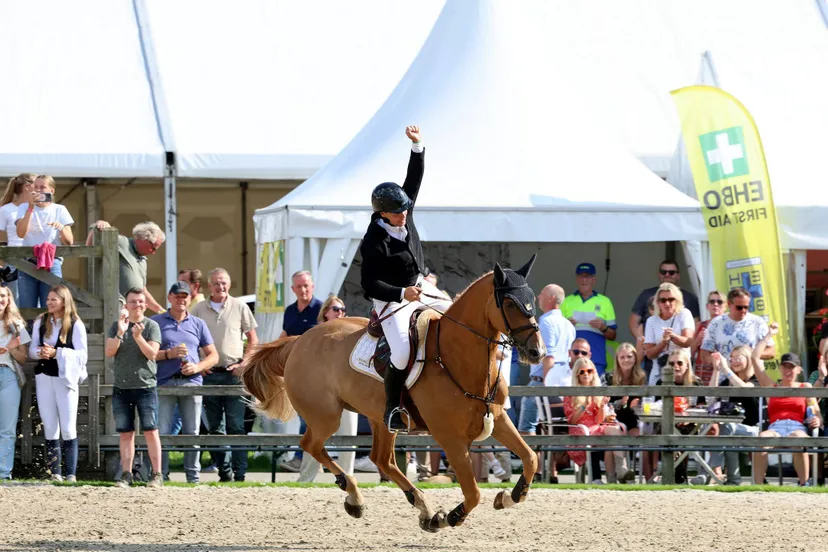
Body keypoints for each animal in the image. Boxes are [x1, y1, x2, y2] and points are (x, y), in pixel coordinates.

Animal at [239, 254, 548, 532]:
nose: (537, 352)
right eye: (509, 303)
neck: (458, 358)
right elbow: (473, 493)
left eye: (532, 299)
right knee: (311, 445)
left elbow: (530, 459)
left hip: (380, 417)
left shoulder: (498, 419)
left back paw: (420, 505)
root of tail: (300, 340)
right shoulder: (451, 438)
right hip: (326, 416)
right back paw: (355, 497)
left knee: (382, 459)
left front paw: (510, 496)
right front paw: (449, 517)